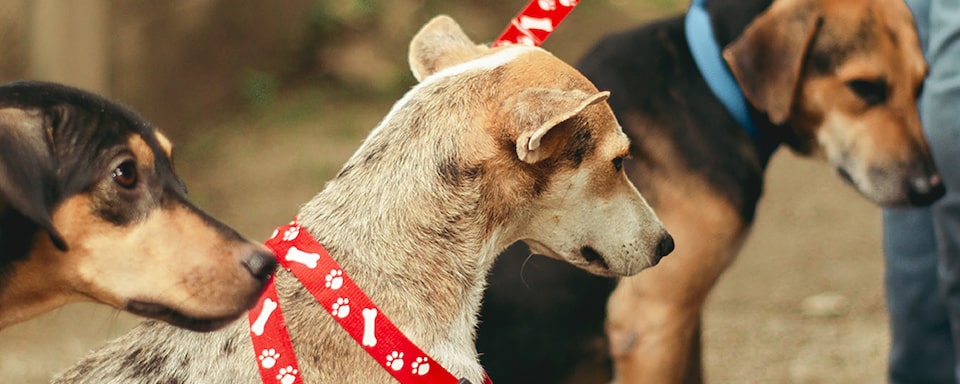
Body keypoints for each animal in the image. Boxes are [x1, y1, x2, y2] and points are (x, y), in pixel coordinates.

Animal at [476, 0, 940, 382]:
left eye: (921, 87)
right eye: (865, 87)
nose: (932, 189)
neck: (708, 83)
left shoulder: (685, 317)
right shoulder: (652, 321)